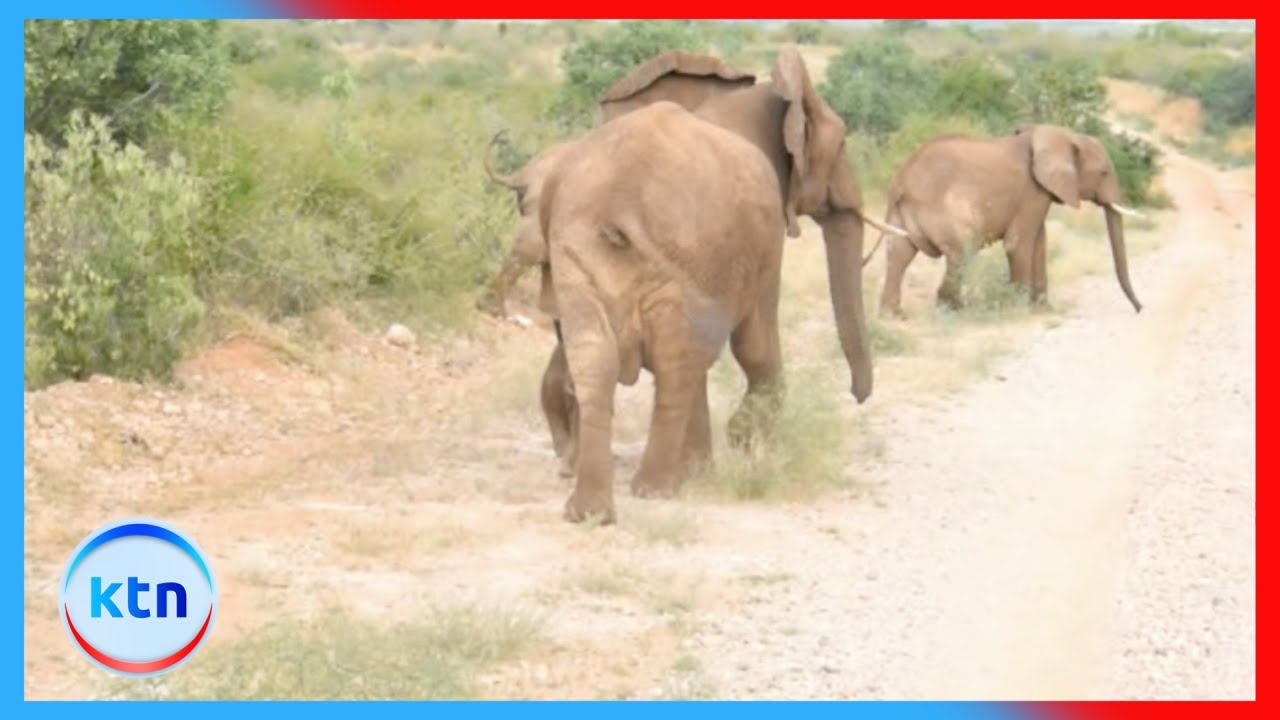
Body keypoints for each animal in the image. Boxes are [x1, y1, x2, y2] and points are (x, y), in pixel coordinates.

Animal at [539, 100, 789, 523]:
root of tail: (621, 192)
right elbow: (754, 344)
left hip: (590, 253)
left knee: (600, 357)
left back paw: (593, 511)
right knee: (679, 365)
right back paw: (654, 491)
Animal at [876, 123, 1146, 318]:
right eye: (1103, 173)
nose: (1140, 309)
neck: (1061, 136)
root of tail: (902, 179)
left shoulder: (1038, 195)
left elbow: (1039, 244)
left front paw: (1043, 310)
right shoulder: (1031, 191)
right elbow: (1018, 244)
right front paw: (1018, 309)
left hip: (901, 214)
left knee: (898, 254)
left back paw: (894, 316)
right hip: (945, 209)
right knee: (961, 253)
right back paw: (954, 310)